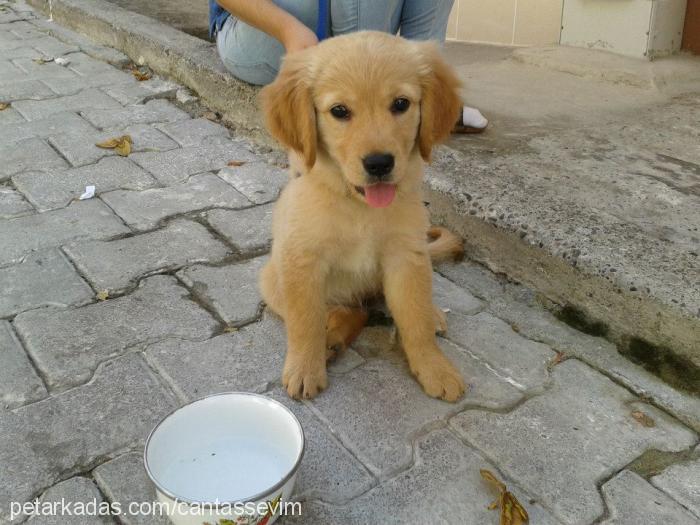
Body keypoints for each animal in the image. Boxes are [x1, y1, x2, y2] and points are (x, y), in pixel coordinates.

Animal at [260, 31, 468, 402]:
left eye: (400, 104)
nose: (379, 163)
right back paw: (332, 339)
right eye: (340, 111)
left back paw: (430, 316)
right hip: (272, 279)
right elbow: (305, 321)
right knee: (343, 310)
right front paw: (304, 368)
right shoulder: (301, 260)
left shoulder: (406, 256)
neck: (359, 206)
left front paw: (434, 366)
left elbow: (414, 318)